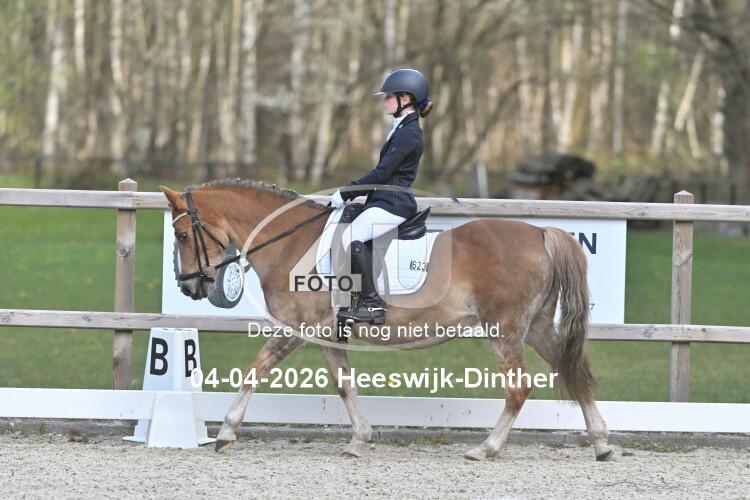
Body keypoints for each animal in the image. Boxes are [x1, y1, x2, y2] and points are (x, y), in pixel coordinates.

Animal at [159, 179, 614, 462]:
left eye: (181, 236)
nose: (189, 287)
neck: (290, 242)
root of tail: (540, 233)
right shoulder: (328, 335)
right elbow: (344, 385)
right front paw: (359, 441)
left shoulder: (298, 328)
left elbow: (255, 369)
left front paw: (225, 434)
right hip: (536, 327)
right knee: (573, 371)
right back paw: (602, 444)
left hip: (505, 330)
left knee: (519, 387)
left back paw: (484, 449)